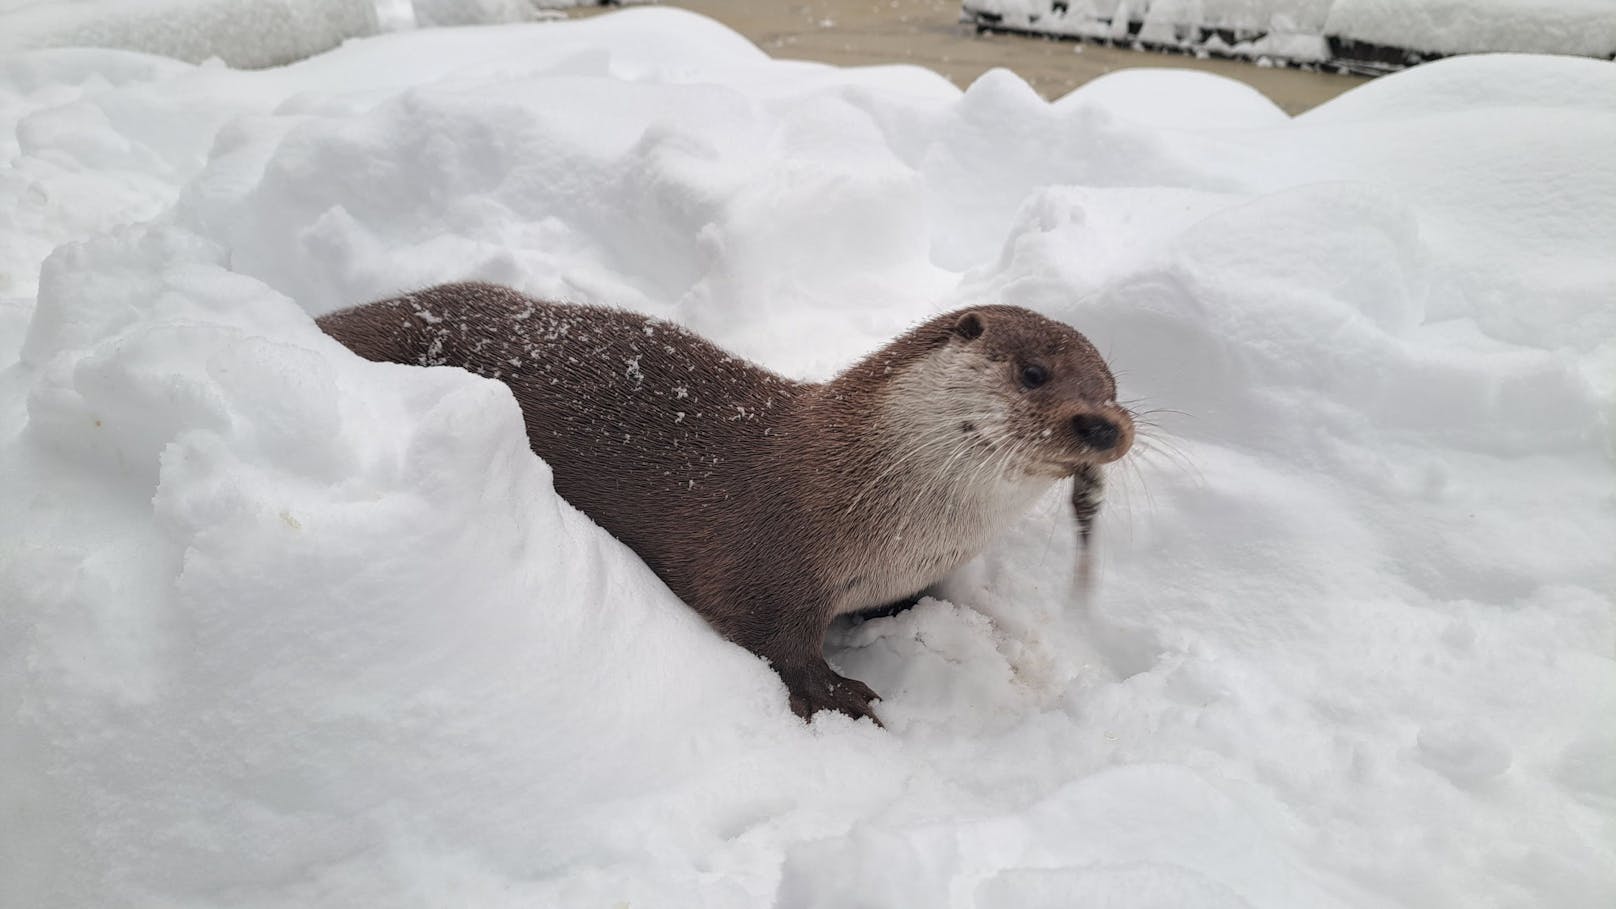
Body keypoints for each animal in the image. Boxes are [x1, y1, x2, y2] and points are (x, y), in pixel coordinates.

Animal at [311, 283, 1124, 721]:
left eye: (1113, 384)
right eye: (1034, 372)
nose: (1105, 424)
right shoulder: (765, 558)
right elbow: (776, 640)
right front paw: (845, 696)